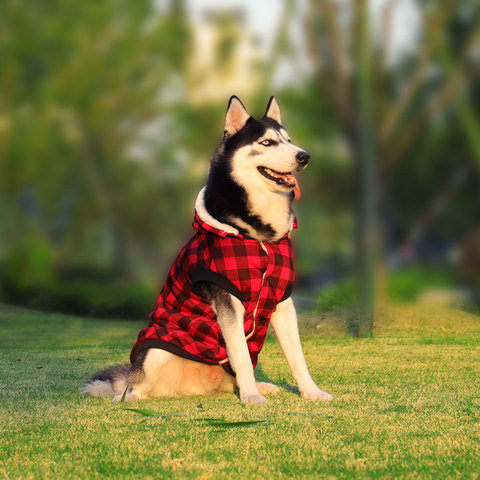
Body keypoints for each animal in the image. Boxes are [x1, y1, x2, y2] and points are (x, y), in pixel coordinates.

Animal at [82, 96, 334, 404]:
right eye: (266, 142)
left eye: (289, 140)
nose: (304, 156)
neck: (259, 237)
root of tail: (191, 387)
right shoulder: (227, 298)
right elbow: (240, 353)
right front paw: (252, 399)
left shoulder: (281, 299)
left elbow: (297, 357)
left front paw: (311, 392)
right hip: (155, 351)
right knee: (132, 386)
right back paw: (130, 399)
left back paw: (260, 386)